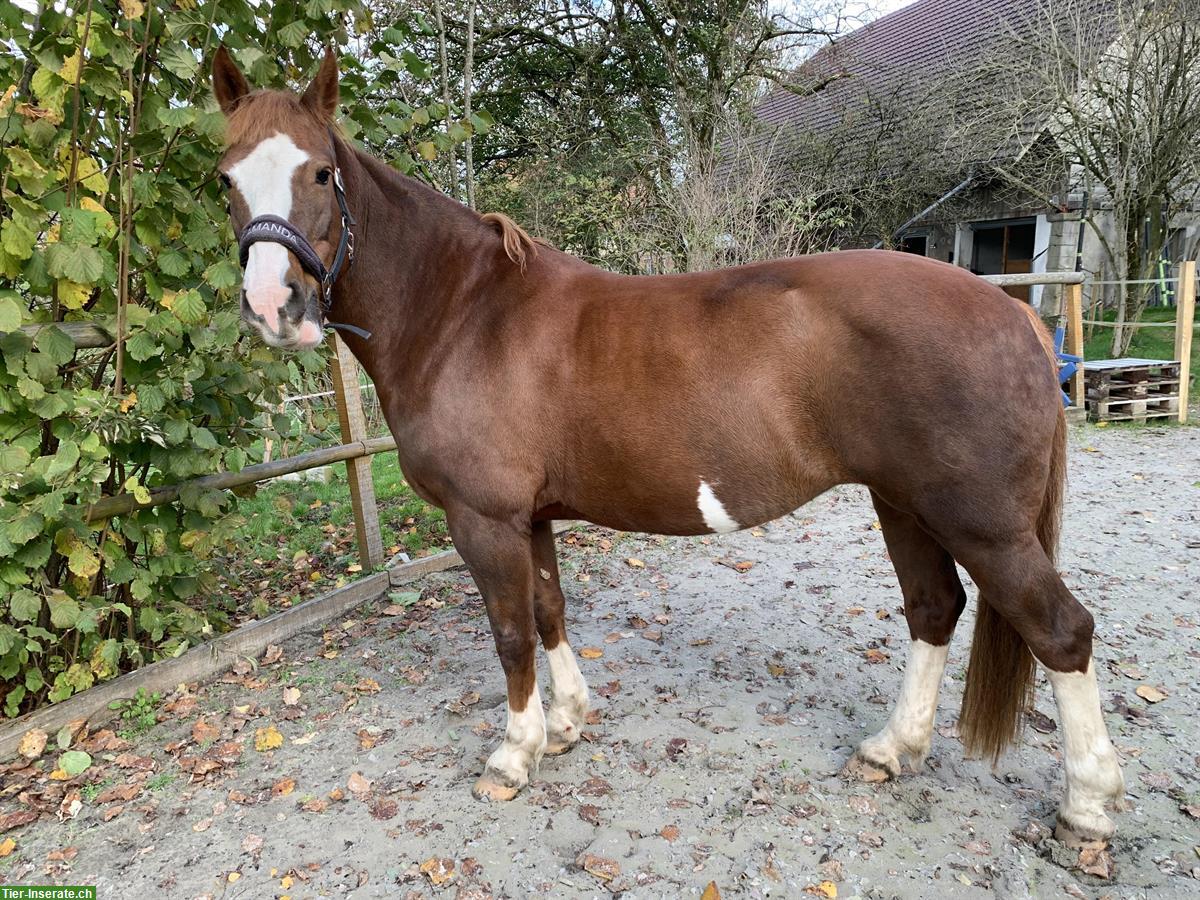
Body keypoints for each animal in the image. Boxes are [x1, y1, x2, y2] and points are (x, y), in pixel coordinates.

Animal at [208, 49, 1123, 844]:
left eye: (320, 172)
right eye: (226, 178)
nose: (273, 307)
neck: (464, 314)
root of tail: (1014, 312)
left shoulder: (484, 519)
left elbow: (509, 632)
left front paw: (513, 755)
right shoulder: (531, 517)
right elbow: (549, 611)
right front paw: (567, 725)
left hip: (983, 524)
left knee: (1061, 632)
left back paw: (1086, 810)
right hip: (904, 505)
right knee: (934, 611)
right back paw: (891, 751)